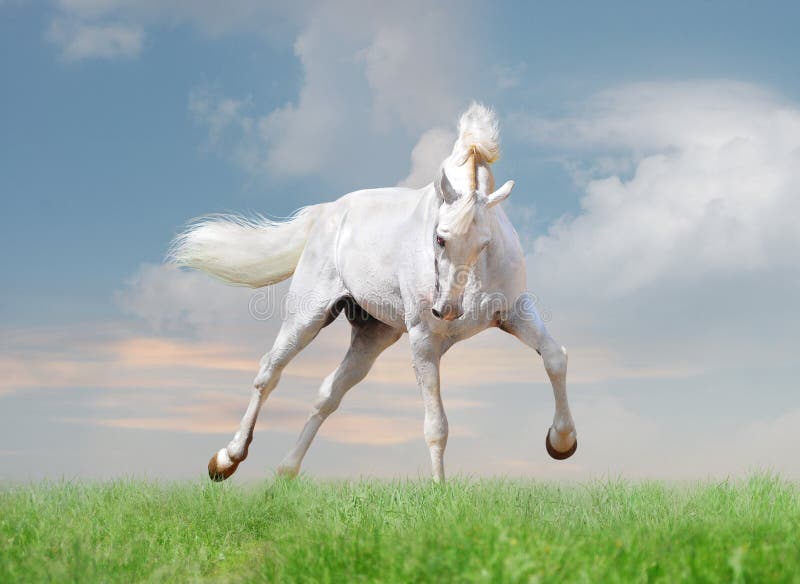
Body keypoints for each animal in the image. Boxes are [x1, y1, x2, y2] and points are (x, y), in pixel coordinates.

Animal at [169, 103, 577, 482]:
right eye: (440, 238)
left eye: (484, 243)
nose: (446, 310)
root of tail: (328, 212)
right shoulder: (424, 341)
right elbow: (437, 425)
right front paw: (440, 494)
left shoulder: (514, 312)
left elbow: (555, 357)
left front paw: (561, 443)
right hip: (307, 316)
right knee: (269, 372)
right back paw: (226, 459)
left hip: (373, 335)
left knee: (328, 394)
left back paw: (285, 472)